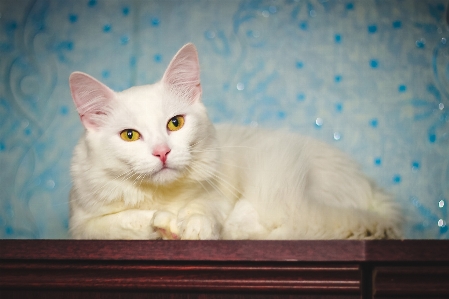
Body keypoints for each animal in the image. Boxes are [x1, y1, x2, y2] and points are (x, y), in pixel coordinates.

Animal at [68, 43, 400, 241]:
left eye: (175, 123)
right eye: (129, 135)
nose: (163, 152)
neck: (165, 196)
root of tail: (371, 190)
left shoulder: (217, 193)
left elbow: (204, 210)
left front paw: (191, 227)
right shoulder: (83, 225)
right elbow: (127, 221)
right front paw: (163, 225)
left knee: (252, 223)